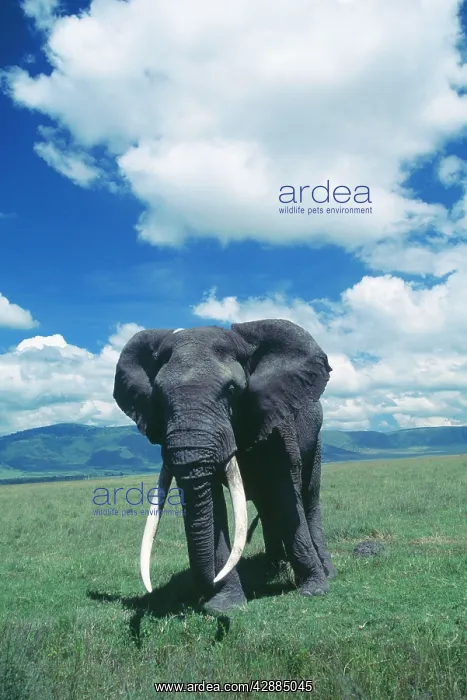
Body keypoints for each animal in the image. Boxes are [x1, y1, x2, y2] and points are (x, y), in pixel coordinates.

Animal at [113, 318, 337, 614]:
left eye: (231, 390)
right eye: (158, 396)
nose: (201, 594)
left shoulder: (278, 421)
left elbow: (285, 494)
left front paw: (314, 590)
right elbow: (211, 502)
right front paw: (225, 605)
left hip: (316, 440)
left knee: (308, 498)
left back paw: (326, 571)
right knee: (266, 506)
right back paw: (273, 567)